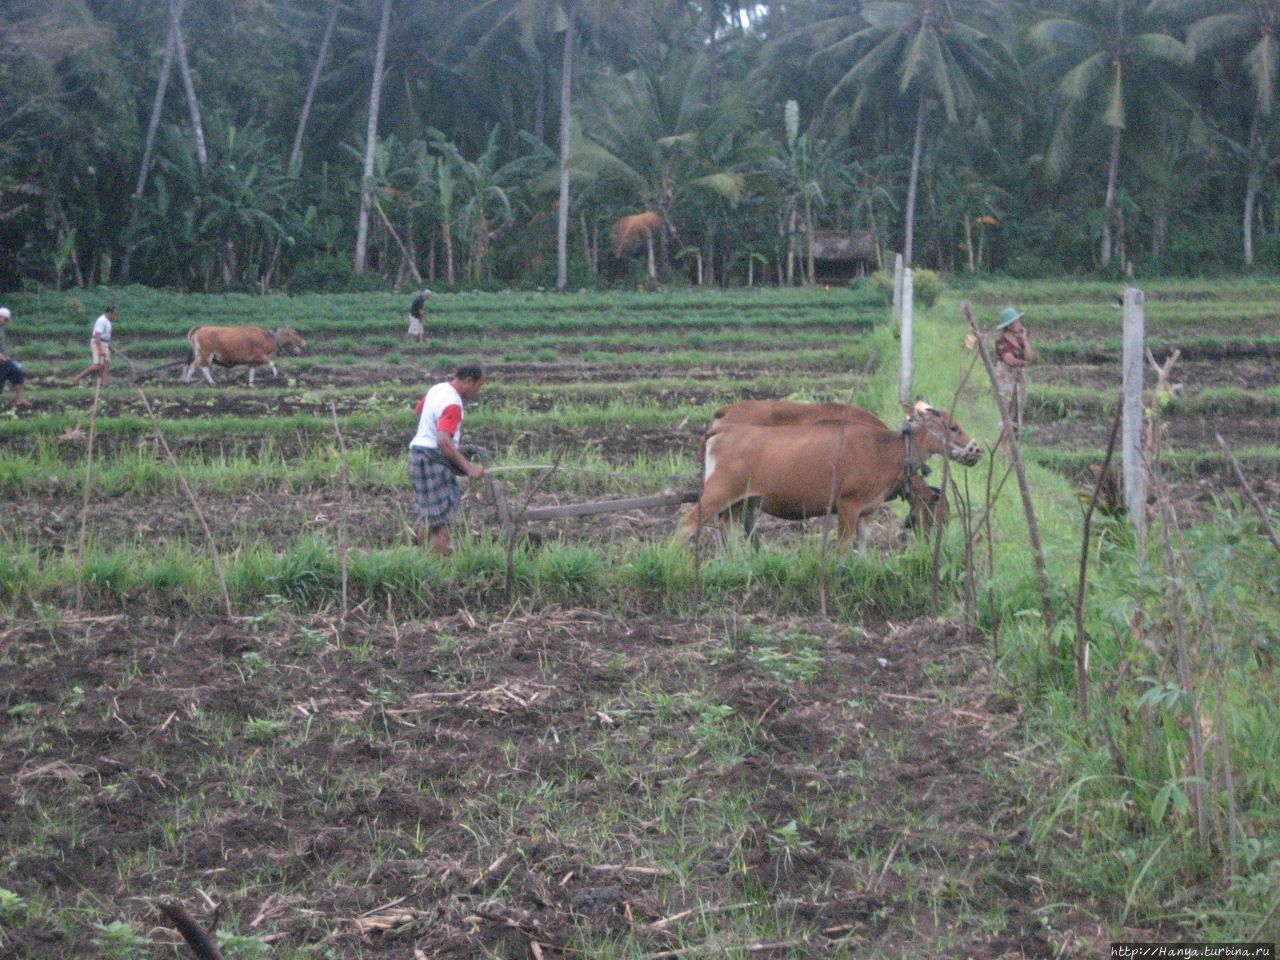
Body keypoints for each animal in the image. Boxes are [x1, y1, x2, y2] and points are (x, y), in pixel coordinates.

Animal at [675, 399, 983, 547]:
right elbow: (843, 546)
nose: (977, 449)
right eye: (954, 427)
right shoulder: (847, 506)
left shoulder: (864, 511)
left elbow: (863, 542)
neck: (887, 448)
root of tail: (723, 425)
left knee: (730, 530)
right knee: (686, 524)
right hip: (717, 493)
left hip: (738, 501)